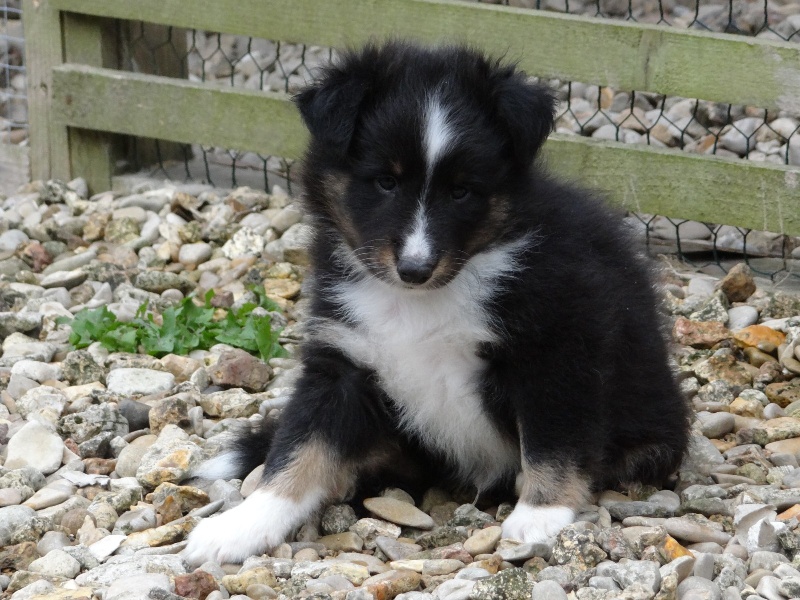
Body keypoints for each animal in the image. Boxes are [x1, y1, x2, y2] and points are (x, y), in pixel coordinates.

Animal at [183, 41, 691, 565]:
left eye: (461, 190)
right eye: (385, 182)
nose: (415, 268)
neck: (422, 299)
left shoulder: (557, 348)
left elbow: (554, 440)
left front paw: (538, 518)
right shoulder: (343, 357)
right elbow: (299, 446)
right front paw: (241, 526)